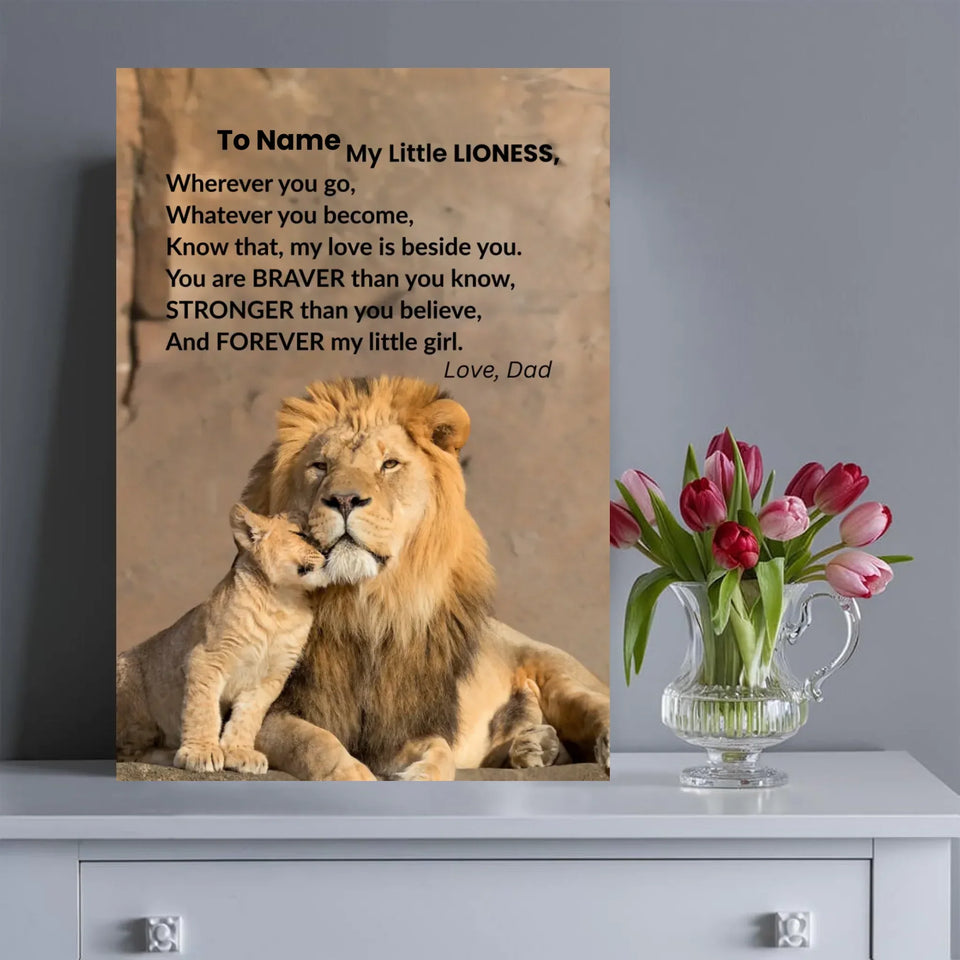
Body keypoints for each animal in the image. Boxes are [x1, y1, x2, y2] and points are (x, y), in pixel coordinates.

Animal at [116, 505, 328, 774]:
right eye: (300, 534)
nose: (328, 551)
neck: (283, 602)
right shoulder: (206, 658)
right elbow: (203, 710)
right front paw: (201, 752)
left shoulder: (271, 677)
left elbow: (248, 716)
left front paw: (239, 753)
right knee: (129, 751)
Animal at [238, 375, 610, 781]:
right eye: (319, 466)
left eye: (389, 464)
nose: (345, 500)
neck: (364, 607)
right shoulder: (270, 711)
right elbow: (316, 742)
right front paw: (353, 774)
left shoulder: (406, 724)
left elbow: (440, 751)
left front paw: (421, 775)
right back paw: (534, 747)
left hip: (558, 673)